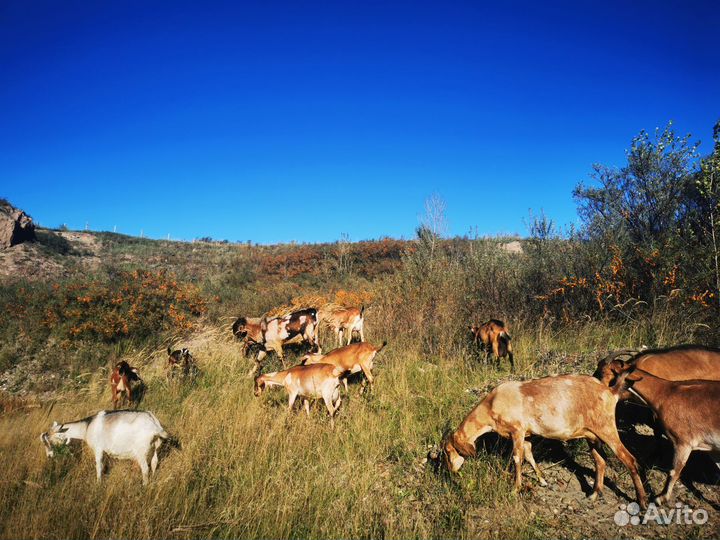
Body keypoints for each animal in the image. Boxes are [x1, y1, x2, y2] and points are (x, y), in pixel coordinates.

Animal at [41, 410, 170, 485]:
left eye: (49, 441)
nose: (49, 456)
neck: (87, 426)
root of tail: (155, 427)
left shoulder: (98, 450)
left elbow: (98, 466)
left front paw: (98, 483)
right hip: (156, 448)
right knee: (154, 463)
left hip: (141, 453)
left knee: (145, 469)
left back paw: (144, 485)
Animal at [441, 374, 648, 508]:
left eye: (448, 451)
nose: (450, 472)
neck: (492, 404)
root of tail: (610, 391)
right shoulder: (526, 435)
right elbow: (529, 455)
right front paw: (542, 480)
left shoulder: (517, 430)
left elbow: (517, 458)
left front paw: (515, 489)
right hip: (592, 436)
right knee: (600, 461)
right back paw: (594, 495)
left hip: (607, 429)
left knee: (630, 460)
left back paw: (643, 502)